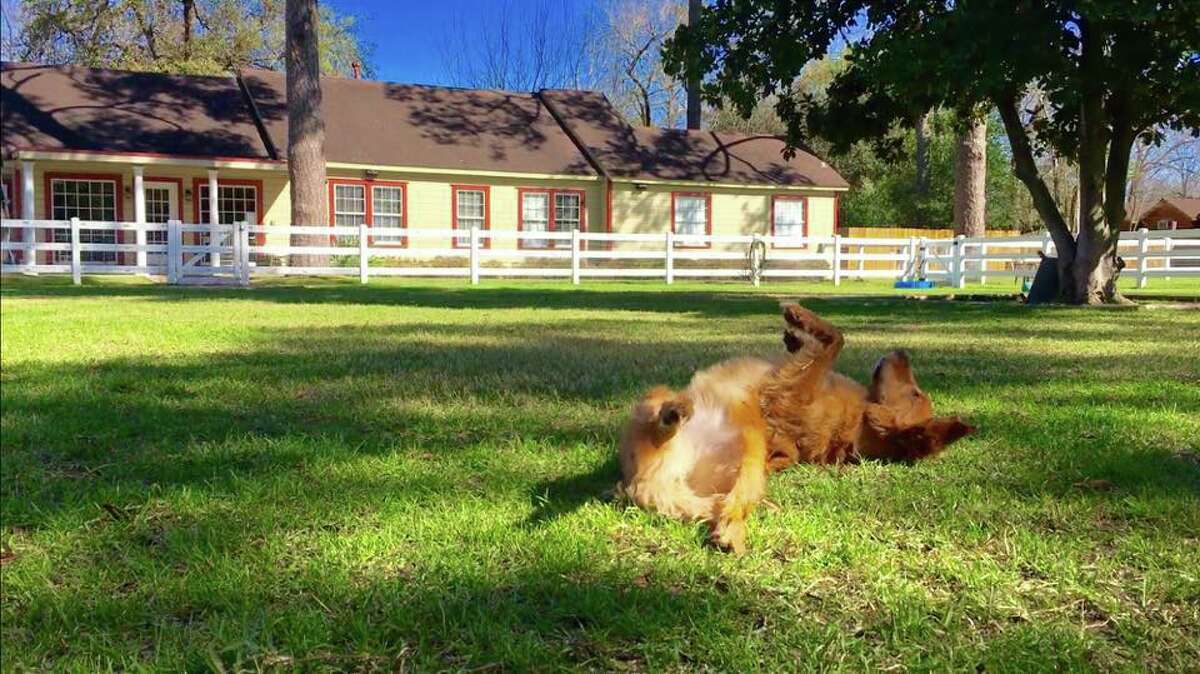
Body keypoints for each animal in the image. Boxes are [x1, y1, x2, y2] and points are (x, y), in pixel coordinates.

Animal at [619, 303, 974, 551]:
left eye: (916, 393)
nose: (901, 351)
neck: (857, 423)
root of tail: (653, 484)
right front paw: (795, 337)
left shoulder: (787, 391)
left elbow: (835, 340)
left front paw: (799, 319)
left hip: (741, 447)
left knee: (727, 498)